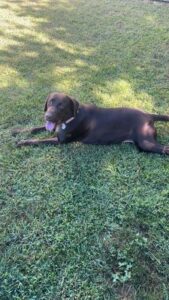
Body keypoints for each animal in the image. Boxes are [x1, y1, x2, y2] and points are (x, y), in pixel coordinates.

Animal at [13, 92, 169, 155]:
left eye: (61, 106)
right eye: (50, 102)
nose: (48, 116)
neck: (70, 118)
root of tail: (148, 115)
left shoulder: (60, 140)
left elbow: (39, 140)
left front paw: (23, 142)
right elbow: (35, 128)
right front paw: (17, 131)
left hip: (145, 142)